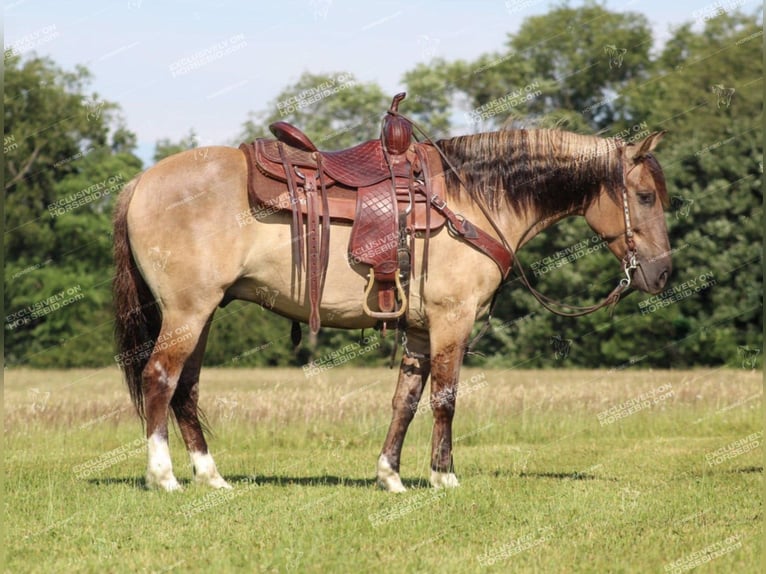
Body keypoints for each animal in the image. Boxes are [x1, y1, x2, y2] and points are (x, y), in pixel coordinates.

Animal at [112, 95, 672, 496]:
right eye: (645, 196)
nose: (663, 273)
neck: (472, 197)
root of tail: (140, 181)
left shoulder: (421, 330)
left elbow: (406, 400)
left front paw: (391, 475)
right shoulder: (452, 320)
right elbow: (445, 398)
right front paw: (444, 476)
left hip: (202, 314)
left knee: (186, 389)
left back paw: (212, 477)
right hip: (187, 312)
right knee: (160, 378)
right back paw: (164, 477)